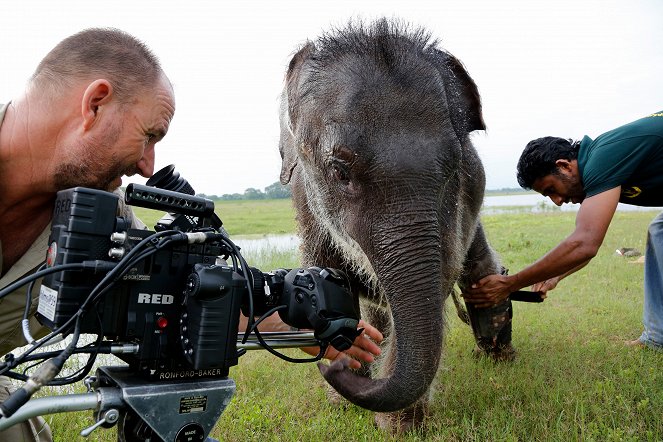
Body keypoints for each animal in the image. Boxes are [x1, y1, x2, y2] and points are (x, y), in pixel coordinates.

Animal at [278, 19, 510, 434]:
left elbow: (440, 277)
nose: (332, 366)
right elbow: (324, 274)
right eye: (340, 172)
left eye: (457, 169)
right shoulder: (306, 205)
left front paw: (401, 428)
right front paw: (343, 399)